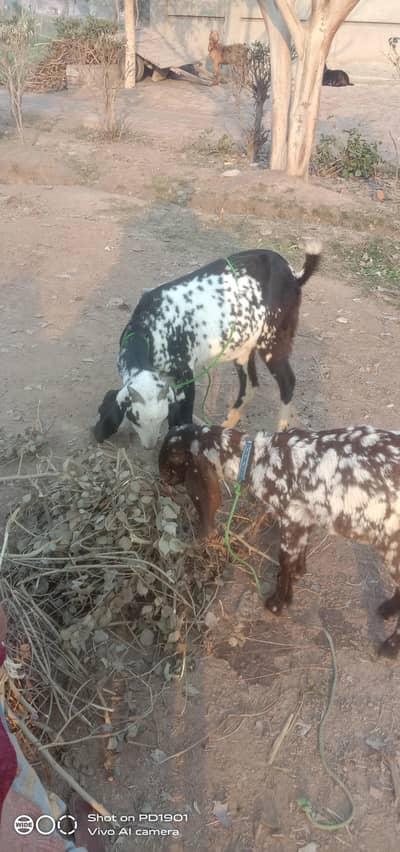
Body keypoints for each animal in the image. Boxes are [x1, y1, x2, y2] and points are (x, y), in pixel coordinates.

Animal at [93, 243, 321, 450]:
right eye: (134, 418)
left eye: (162, 418)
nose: (149, 446)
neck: (148, 329)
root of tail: (293, 274)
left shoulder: (185, 376)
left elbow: (184, 416)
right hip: (243, 346)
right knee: (250, 386)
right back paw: (226, 427)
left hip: (273, 340)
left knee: (287, 382)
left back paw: (281, 432)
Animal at [159, 423, 400, 658]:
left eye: (168, 462)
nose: (162, 480)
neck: (257, 458)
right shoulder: (302, 518)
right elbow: (297, 555)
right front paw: (298, 575)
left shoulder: (290, 518)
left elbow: (284, 562)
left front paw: (276, 604)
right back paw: (387, 610)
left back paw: (389, 647)